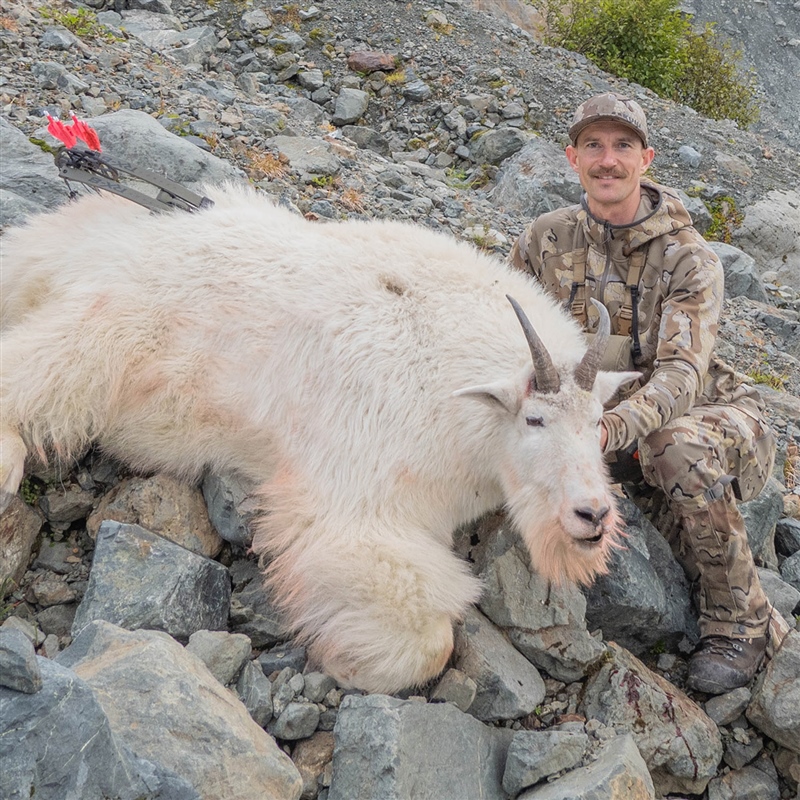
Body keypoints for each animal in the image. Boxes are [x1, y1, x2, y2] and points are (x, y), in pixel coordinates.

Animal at [0, 184, 638, 693]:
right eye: (534, 420)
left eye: (597, 422)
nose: (592, 516)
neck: (466, 408)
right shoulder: (359, 494)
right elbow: (430, 638)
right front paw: (346, 657)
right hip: (110, 328)